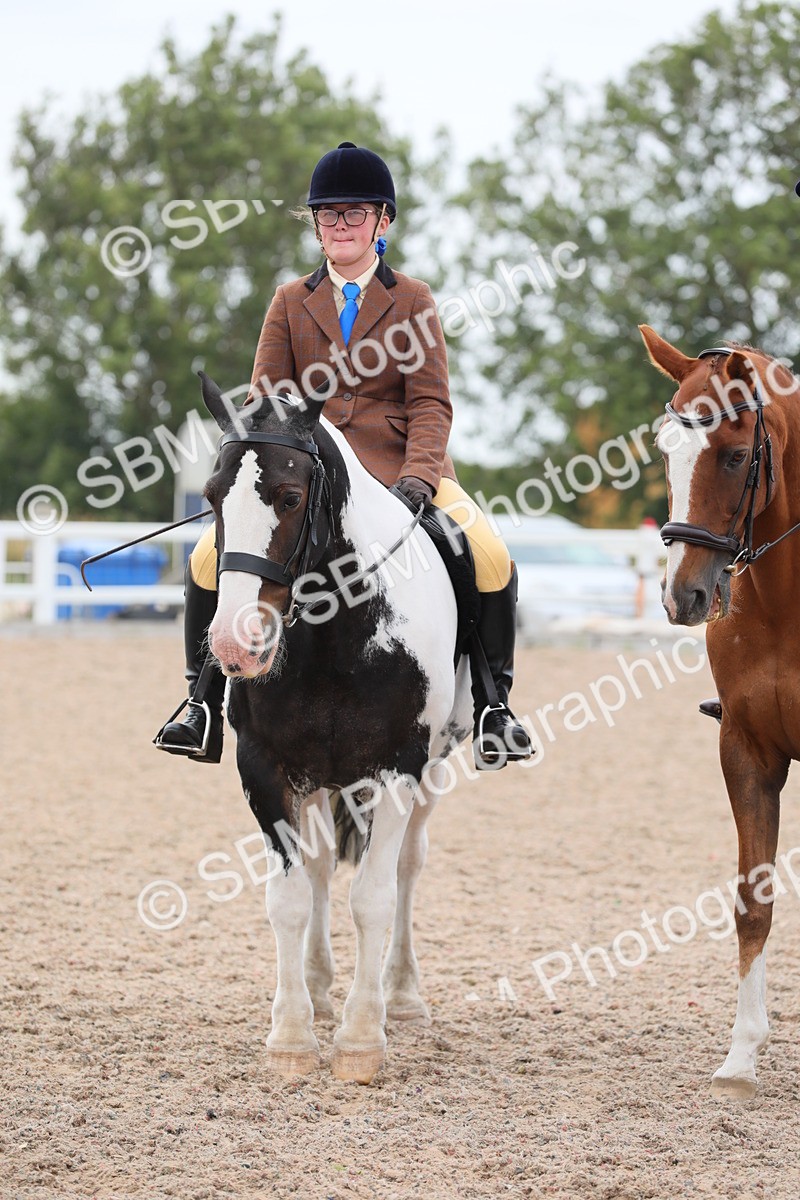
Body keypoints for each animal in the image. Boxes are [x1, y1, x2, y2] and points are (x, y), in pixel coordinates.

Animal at [196, 372, 473, 1084]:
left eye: (291, 497)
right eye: (211, 497)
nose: (235, 647)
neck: (333, 632)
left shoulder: (399, 767)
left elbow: (373, 896)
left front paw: (360, 1039)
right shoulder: (265, 768)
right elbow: (289, 897)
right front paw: (293, 1036)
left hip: (432, 767)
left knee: (406, 866)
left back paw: (401, 996)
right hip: (318, 776)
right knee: (321, 868)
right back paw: (320, 988)